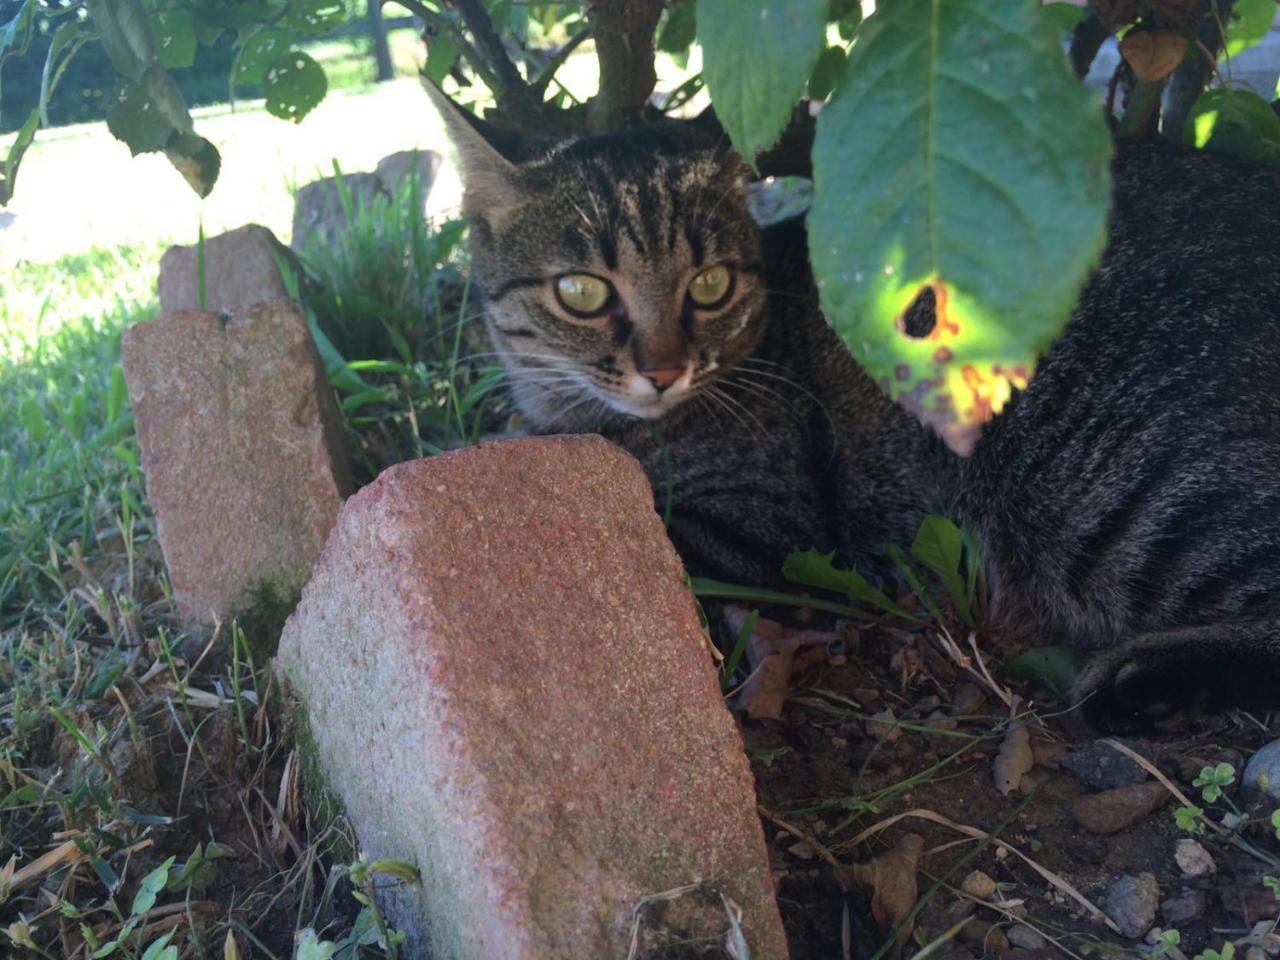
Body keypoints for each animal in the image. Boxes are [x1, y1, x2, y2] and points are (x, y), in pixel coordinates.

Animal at [430, 86, 1280, 727]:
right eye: (581, 291)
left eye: (709, 285)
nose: (664, 371)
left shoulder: (766, 525)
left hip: (1126, 485)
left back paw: (1137, 680)